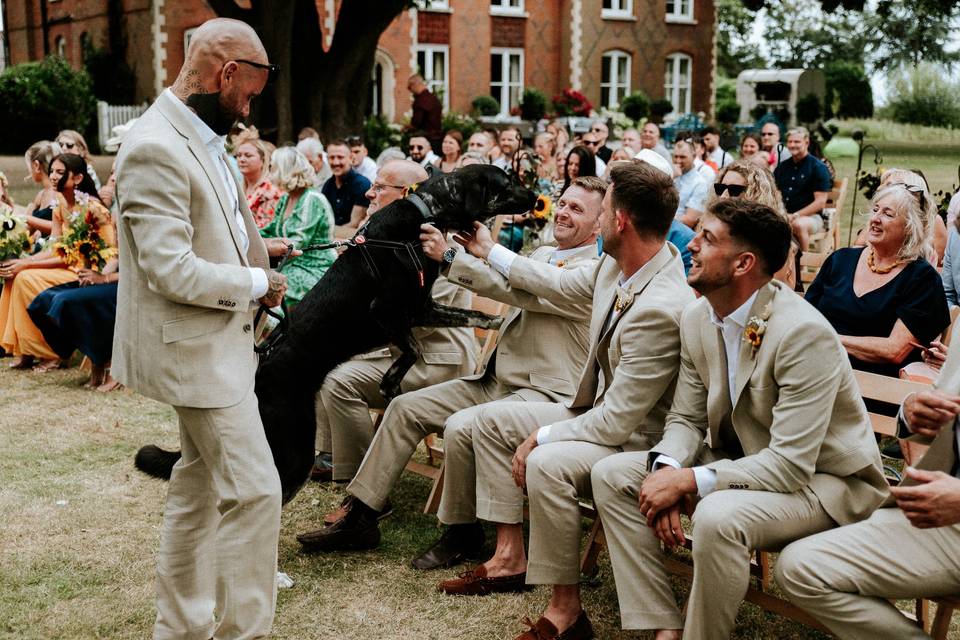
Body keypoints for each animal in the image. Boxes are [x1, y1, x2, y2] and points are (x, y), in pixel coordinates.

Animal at [134, 165, 536, 504]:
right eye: (506, 183)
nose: (536, 197)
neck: (427, 213)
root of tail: (257, 375)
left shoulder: (421, 308)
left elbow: (471, 316)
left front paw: (499, 323)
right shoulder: (390, 311)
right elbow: (413, 350)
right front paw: (391, 382)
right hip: (295, 447)